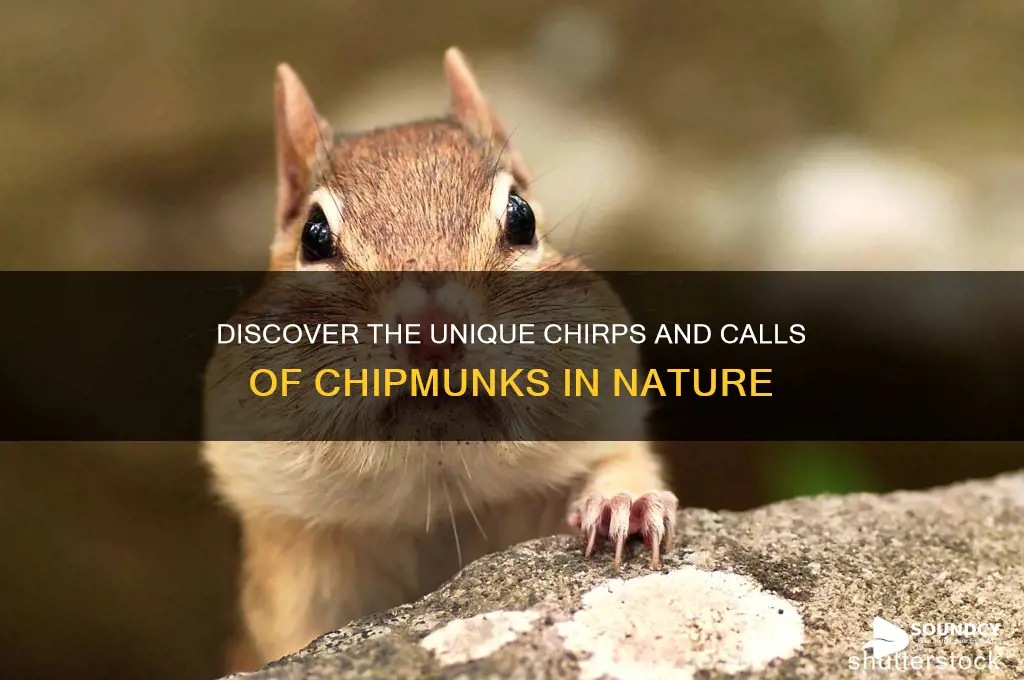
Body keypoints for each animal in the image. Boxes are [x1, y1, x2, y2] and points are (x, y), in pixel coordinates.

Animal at [201, 47, 678, 672]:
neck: (442, 504)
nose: (432, 334)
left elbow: (625, 466)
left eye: (522, 218)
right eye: (314, 236)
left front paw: (627, 505)